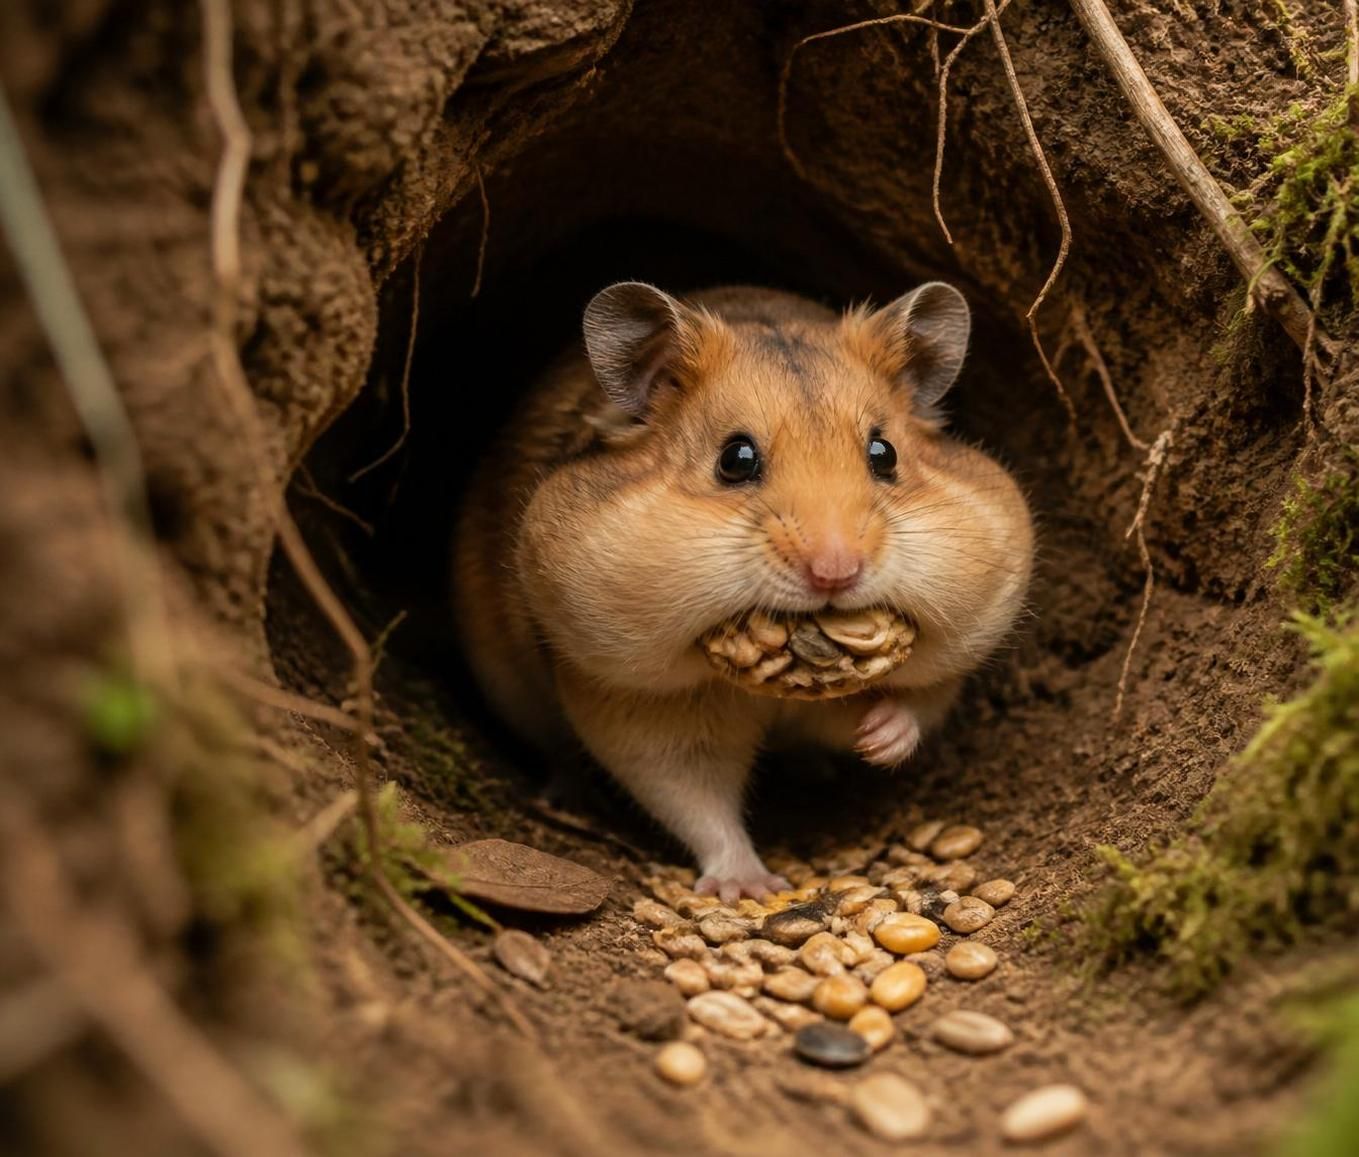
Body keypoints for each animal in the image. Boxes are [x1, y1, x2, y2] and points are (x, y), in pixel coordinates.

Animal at [454, 281, 1033, 902]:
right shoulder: (643, 711)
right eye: (736, 459)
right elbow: (696, 803)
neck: (772, 694)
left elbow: (916, 703)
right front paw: (749, 888)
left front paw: (877, 739)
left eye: (885, 454)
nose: (835, 572)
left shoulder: (947, 655)